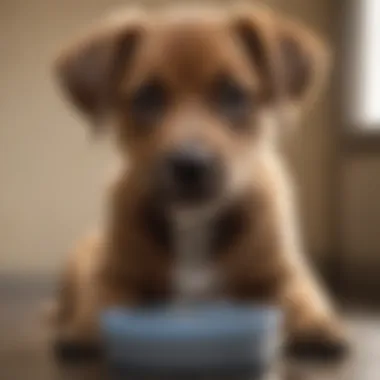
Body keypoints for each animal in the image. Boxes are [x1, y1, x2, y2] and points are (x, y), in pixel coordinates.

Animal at [52, 2, 348, 360]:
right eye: (146, 97)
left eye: (233, 94)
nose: (190, 165)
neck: (194, 222)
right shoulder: (113, 274)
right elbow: (101, 300)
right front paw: (84, 328)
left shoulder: (283, 274)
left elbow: (299, 298)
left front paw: (316, 323)